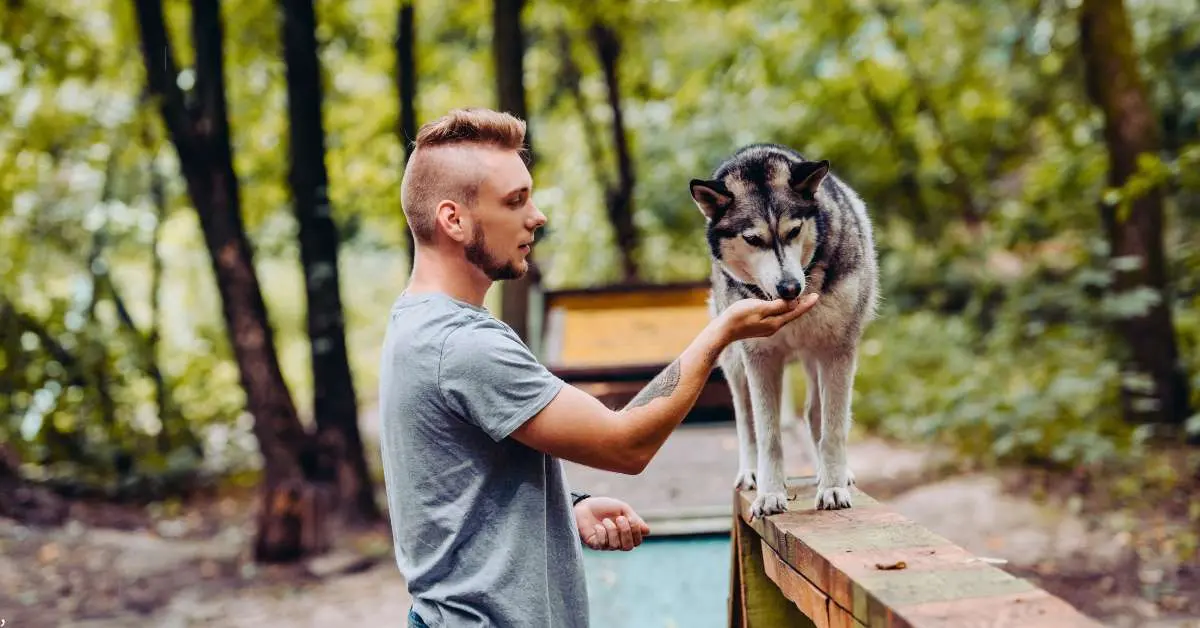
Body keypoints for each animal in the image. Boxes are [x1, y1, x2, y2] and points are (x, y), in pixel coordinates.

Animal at [691, 145, 878, 518]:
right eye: (752, 239)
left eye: (793, 231)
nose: (790, 287)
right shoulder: (761, 358)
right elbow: (768, 434)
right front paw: (770, 494)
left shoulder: (838, 349)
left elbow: (833, 427)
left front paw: (833, 487)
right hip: (735, 364)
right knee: (746, 420)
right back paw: (750, 472)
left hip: (816, 357)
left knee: (815, 414)